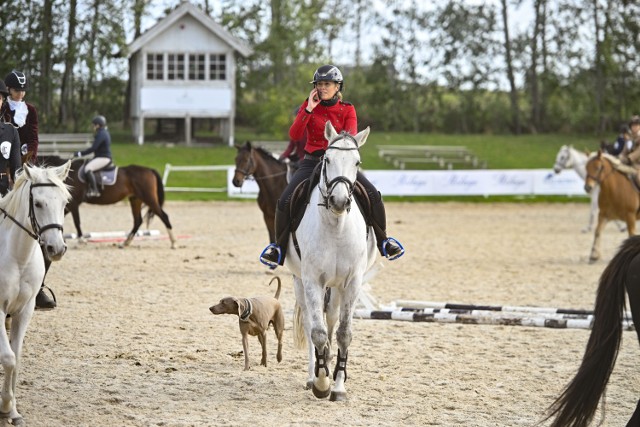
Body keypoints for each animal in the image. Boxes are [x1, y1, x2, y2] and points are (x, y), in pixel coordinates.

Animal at [0, 161, 71, 424]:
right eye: (38, 203)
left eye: (65, 203)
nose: (56, 248)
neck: (18, 257)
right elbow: (8, 358)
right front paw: (5, 406)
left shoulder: (25, 310)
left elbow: (16, 357)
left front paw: (12, 410)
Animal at [38, 156, 176, 251]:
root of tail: (149, 170)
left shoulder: (74, 203)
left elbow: (77, 222)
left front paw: (81, 240)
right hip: (135, 200)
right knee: (138, 221)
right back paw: (124, 243)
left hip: (149, 198)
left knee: (164, 216)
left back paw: (173, 243)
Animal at [284, 122, 376, 402]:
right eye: (327, 159)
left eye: (357, 162)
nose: (338, 201)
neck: (336, 227)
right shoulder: (312, 280)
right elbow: (317, 332)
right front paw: (322, 383)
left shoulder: (353, 282)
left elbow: (344, 333)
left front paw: (338, 385)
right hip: (300, 282)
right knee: (313, 323)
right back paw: (313, 374)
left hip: (336, 287)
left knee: (332, 319)